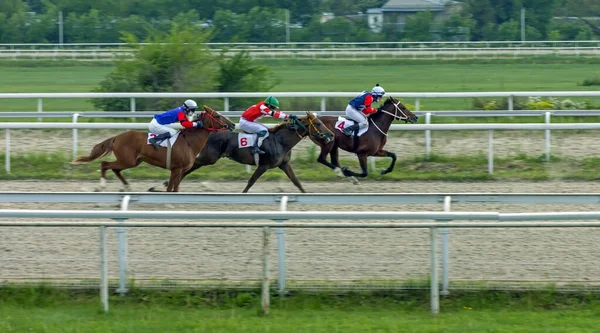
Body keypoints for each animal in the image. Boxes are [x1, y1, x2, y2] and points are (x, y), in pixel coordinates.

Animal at [71, 105, 236, 191]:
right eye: (218, 116)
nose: (233, 124)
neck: (189, 142)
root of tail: (117, 137)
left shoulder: (180, 170)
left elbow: (175, 189)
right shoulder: (176, 169)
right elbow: (170, 189)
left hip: (133, 161)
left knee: (115, 169)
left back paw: (127, 187)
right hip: (127, 160)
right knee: (105, 164)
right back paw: (101, 186)